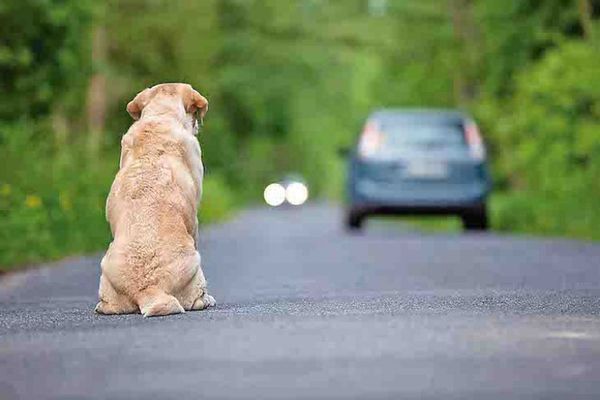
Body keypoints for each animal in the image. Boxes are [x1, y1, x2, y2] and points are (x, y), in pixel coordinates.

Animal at [94, 83, 216, 318]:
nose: (198, 124)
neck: (161, 116)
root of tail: (149, 289)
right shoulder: (194, 218)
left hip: (106, 268)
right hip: (194, 262)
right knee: (195, 298)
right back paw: (207, 300)